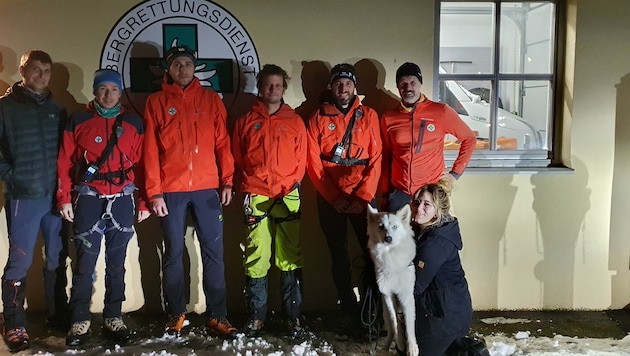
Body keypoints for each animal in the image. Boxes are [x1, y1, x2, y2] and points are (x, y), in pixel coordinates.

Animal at [366, 204, 420, 356]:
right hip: (384, 309)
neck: (390, 254)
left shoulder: (406, 296)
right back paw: (384, 349)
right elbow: (395, 321)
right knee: (390, 330)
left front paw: (412, 348)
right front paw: (400, 342)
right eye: (381, 226)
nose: (388, 238)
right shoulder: (388, 295)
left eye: (395, 227)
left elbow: (409, 325)